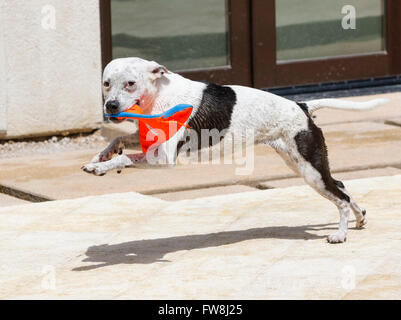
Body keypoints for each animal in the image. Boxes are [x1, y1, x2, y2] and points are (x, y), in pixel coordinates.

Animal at [82, 57, 388, 242]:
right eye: (106, 84)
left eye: (130, 83)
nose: (111, 106)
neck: (160, 94)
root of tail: (301, 106)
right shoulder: (148, 143)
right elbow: (119, 143)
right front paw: (101, 157)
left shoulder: (164, 159)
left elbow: (125, 157)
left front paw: (101, 166)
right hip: (303, 165)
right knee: (341, 186)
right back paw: (360, 217)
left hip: (310, 172)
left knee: (341, 198)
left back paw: (341, 234)